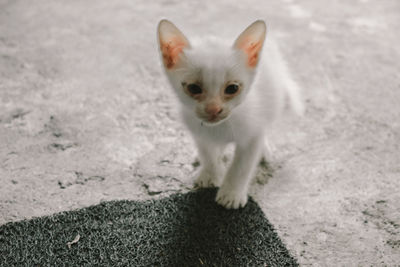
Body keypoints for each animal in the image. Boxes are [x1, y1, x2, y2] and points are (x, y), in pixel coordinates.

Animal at [156, 19, 304, 210]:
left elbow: (241, 166)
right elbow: (207, 152)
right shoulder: (197, 130)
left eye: (232, 88)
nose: (213, 109)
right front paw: (211, 173)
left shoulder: (252, 134)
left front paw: (231, 194)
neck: (222, 127)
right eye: (194, 88)